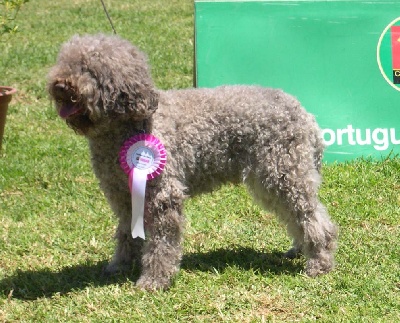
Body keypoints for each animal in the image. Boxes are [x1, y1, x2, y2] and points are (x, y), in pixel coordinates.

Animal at [48, 34, 340, 292]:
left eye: (90, 69)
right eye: (65, 62)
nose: (60, 86)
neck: (129, 124)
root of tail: (305, 114)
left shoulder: (162, 196)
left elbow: (162, 243)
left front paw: (155, 280)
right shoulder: (122, 195)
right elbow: (126, 233)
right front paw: (120, 265)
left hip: (282, 174)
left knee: (314, 219)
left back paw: (319, 262)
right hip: (273, 178)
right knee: (298, 217)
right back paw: (301, 250)